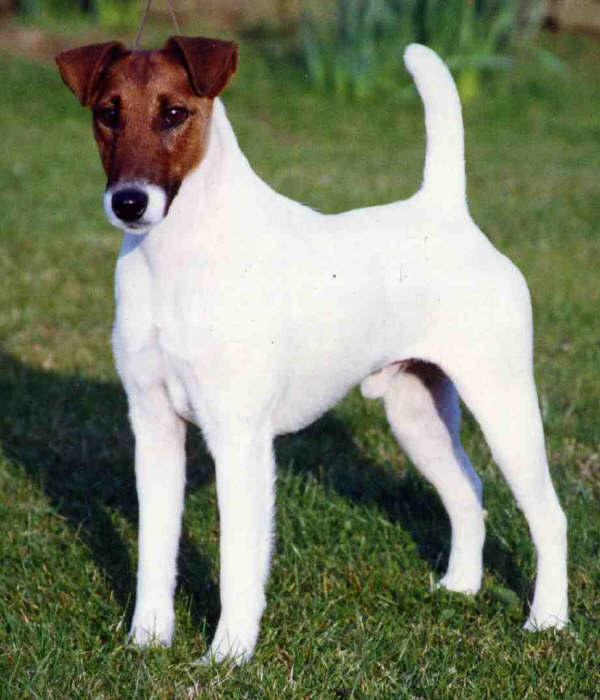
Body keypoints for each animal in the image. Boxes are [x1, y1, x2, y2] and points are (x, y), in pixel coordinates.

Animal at [55, 37, 568, 660]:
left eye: (174, 112)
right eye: (108, 113)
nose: (129, 203)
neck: (176, 260)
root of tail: (445, 211)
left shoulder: (240, 439)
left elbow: (237, 563)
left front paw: (227, 657)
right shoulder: (154, 428)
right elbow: (155, 552)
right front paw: (147, 642)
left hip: (503, 403)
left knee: (548, 515)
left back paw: (548, 621)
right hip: (416, 412)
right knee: (467, 490)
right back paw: (460, 588)